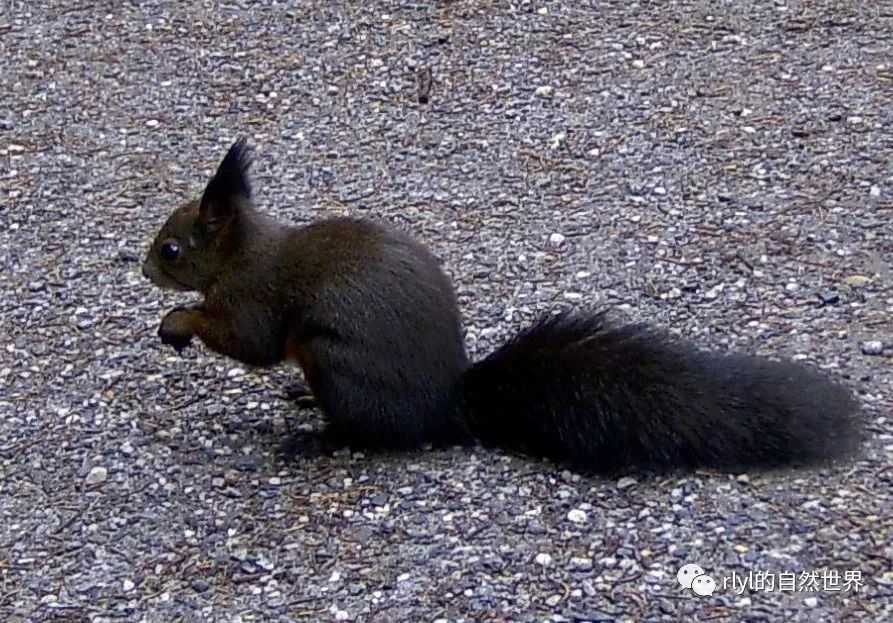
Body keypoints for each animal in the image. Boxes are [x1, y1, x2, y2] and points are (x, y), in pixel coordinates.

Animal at [143, 140, 860, 472]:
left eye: (172, 249)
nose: (145, 268)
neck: (242, 251)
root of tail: (443, 406)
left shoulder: (254, 296)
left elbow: (249, 341)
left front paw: (179, 321)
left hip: (334, 360)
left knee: (369, 432)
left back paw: (314, 435)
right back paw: (301, 401)